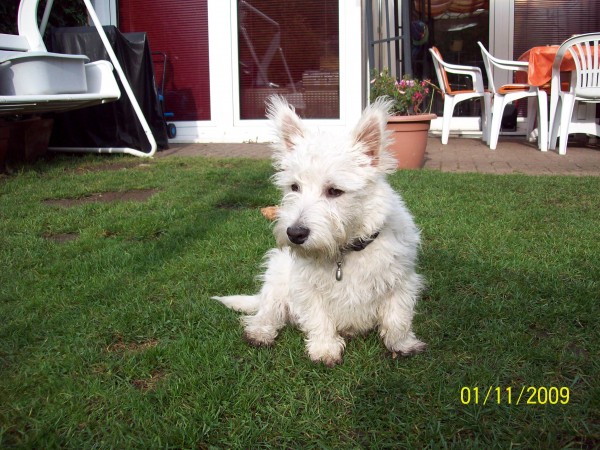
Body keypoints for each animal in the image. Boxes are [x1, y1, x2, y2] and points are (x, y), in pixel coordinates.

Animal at [213, 97, 426, 366]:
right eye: (294, 187)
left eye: (335, 191)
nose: (295, 234)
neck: (345, 251)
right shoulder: (308, 288)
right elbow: (319, 318)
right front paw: (325, 349)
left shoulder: (402, 281)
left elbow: (398, 316)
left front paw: (402, 344)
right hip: (276, 274)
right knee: (268, 310)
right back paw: (260, 332)